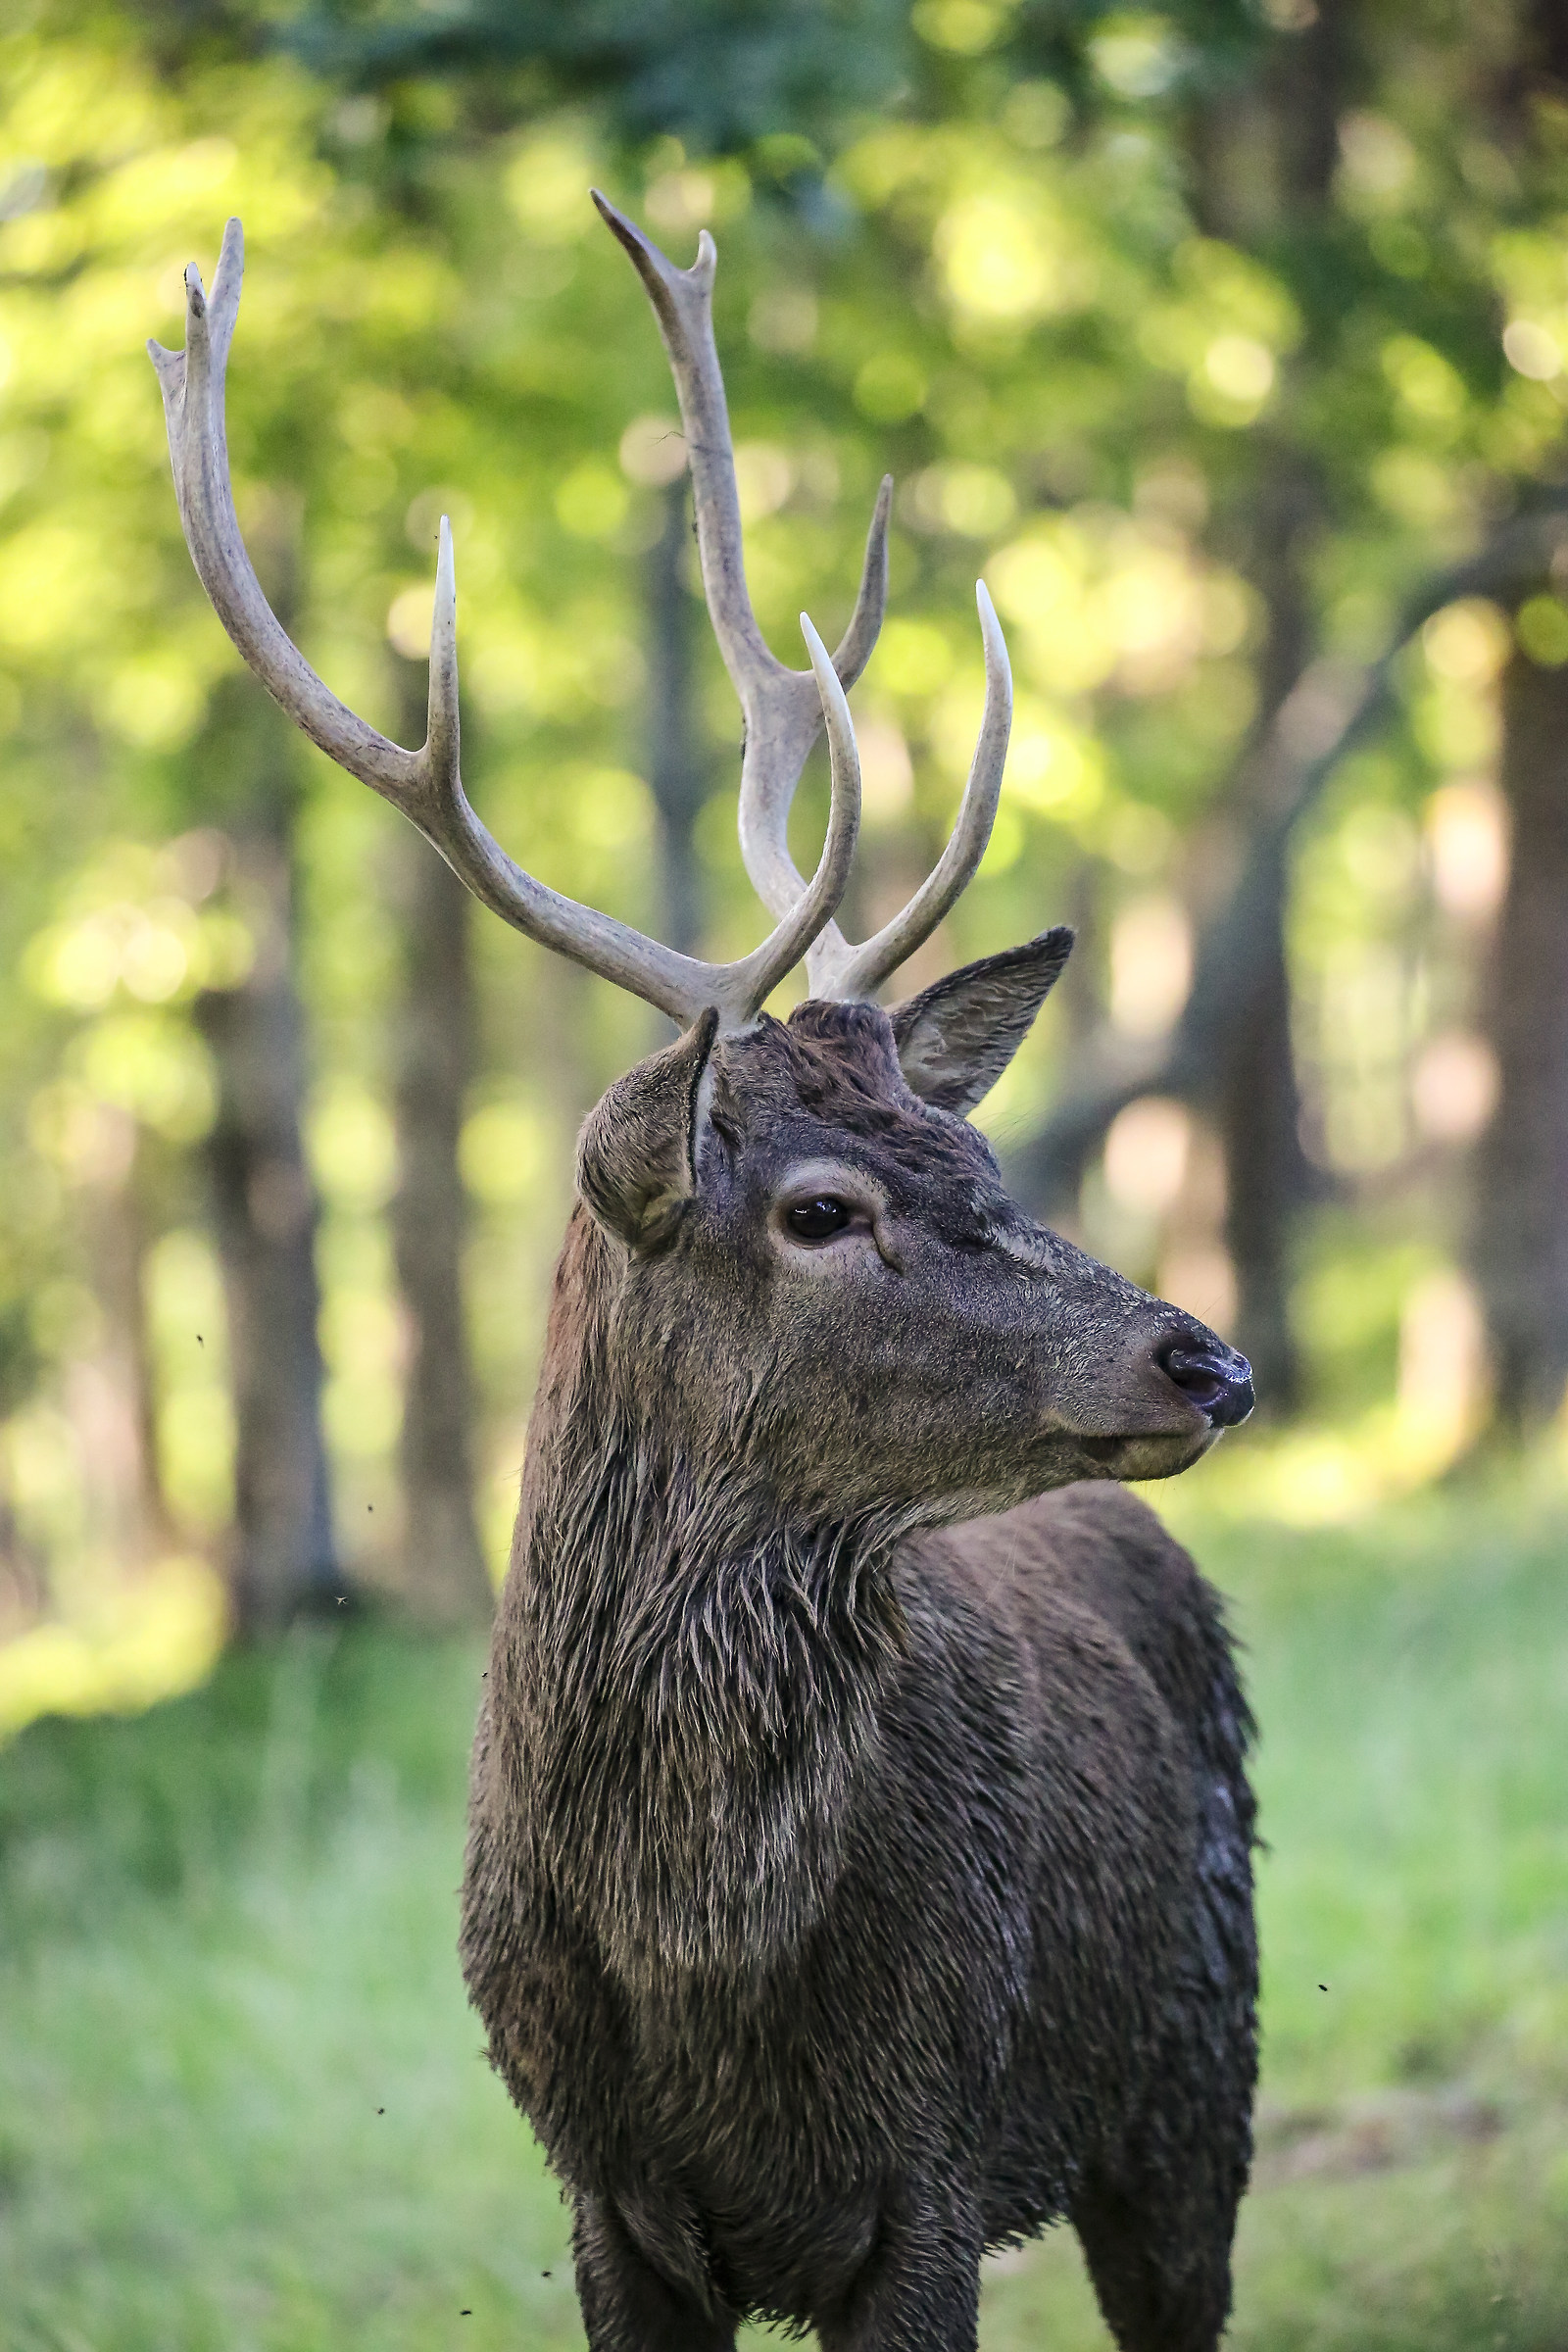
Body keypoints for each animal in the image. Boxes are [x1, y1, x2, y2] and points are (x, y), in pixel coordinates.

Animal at [152, 199, 1259, 2352]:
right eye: (819, 1210)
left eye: (981, 1158)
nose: (1201, 1359)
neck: (703, 1986)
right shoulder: (602, 2198)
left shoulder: (933, 2166)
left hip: (1198, 2070)